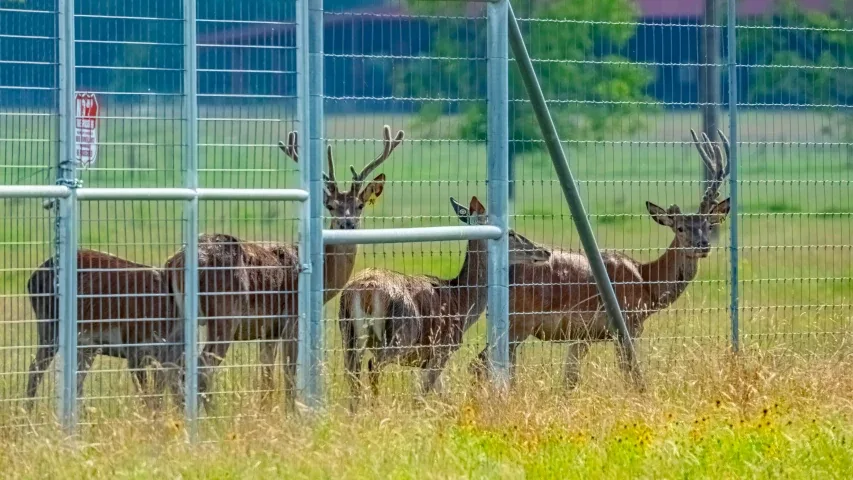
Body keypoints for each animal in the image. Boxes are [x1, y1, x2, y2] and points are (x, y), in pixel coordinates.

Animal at [24, 249, 185, 410]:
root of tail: (34, 275)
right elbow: (147, 395)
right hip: (51, 332)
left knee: (76, 381)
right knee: (35, 369)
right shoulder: (134, 351)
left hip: (87, 348)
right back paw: (29, 410)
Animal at [166, 125, 406, 410]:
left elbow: (267, 378)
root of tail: (175, 261)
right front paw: (292, 412)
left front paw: (267, 410)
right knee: (202, 368)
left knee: (173, 366)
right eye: (331, 206)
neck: (324, 277)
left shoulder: (267, 330)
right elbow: (289, 375)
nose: (347, 224)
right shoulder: (291, 317)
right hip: (224, 312)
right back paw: (211, 416)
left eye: (359, 205)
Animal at [336, 195, 548, 408]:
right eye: (510, 233)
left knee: (352, 374)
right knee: (373, 366)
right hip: (400, 334)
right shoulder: (443, 348)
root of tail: (362, 291)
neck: (462, 304)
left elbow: (442, 395)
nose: (544, 251)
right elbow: (422, 395)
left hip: (349, 332)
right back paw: (376, 407)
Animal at [470, 128, 728, 390]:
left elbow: (570, 379)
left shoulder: (583, 335)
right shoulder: (627, 324)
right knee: (482, 363)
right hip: (517, 321)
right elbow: (631, 374)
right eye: (680, 228)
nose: (703, 245)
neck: (647, 284)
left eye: (708, 225)